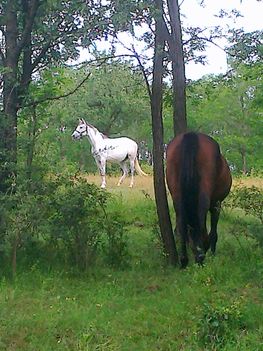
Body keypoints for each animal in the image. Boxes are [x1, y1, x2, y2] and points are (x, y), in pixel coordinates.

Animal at [167, 133, 233, 268]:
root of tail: (191, 135)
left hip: (176, 193)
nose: (199, 253)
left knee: (181, 220)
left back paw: (184, 259)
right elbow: (213, 232)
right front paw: (212, 253)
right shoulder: (216, 204)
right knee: (201, 214)